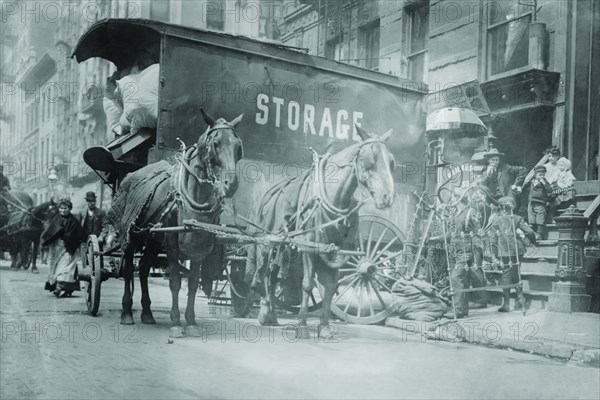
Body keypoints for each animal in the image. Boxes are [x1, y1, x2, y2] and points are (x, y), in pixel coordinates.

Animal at [112, 108, 244, 336]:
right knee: (129, 270)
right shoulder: (172, 240)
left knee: (144, 268)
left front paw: (190, 322)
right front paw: (175, 322)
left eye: (237, 146)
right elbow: (175, 281)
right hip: (133, 235)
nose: (231, 184)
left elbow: (192, 282)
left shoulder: (199, 241)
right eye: (216, 143)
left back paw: (147, 312)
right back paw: (127, 313)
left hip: (154, 239)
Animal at [247, 125, 394, 338]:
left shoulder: (336, 250)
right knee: (265, 272)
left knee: (274, 275)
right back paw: (265, 311)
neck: (334, 198)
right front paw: (302, 325)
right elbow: (307, 284)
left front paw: (324, 326)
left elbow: (331, 288)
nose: (388, 197)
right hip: (268, 242)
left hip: (283, 245)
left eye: (391, 161)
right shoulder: (309, 247)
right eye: (369, 159)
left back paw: (271, 314)